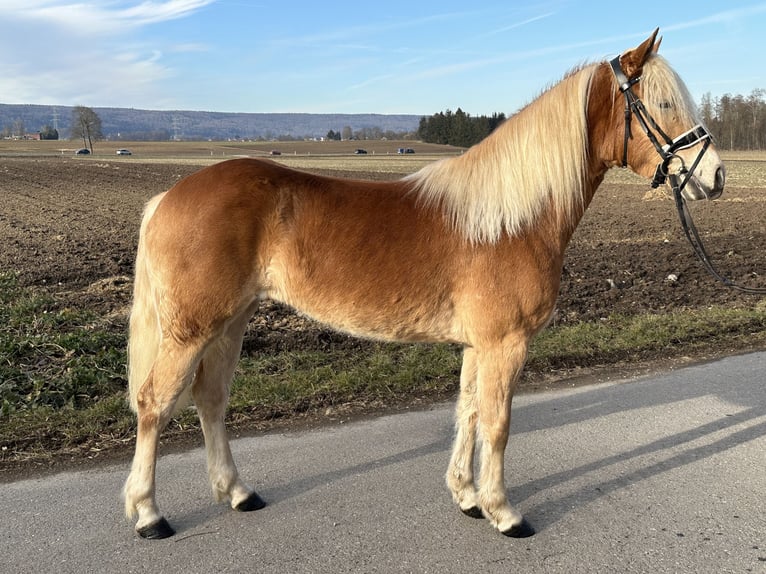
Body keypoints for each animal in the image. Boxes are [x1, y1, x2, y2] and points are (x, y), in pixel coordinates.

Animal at [124, 29, 728, 544]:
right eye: (663, 104)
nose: (716, 176)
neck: (512, 217)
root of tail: (166, 198)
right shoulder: (505, 343)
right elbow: (497, 424)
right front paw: (504, 512)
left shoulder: (478, 345)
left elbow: (467, 413)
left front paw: (467, 496)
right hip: (193, 329)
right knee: (155, 403)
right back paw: (149, 513)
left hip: (231, 322)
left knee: (210, 401)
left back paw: (236, 492)